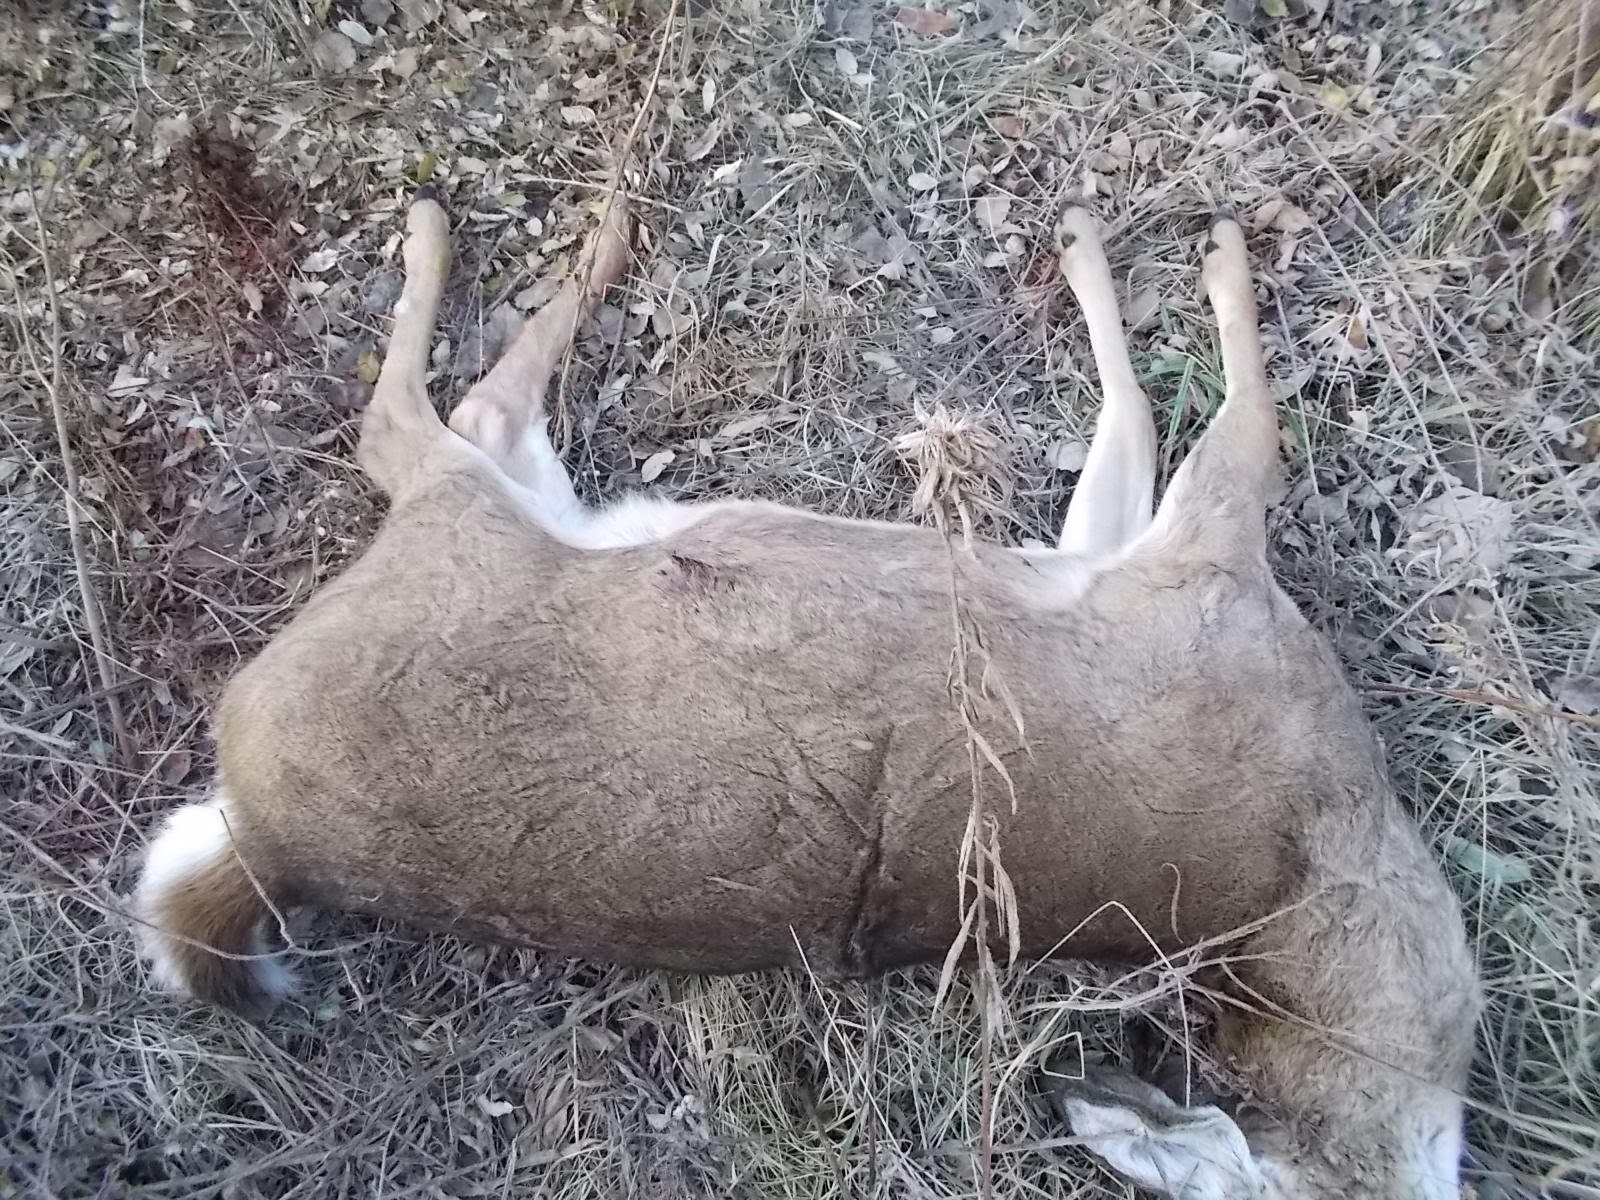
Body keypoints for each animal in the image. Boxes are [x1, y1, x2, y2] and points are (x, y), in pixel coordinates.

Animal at [132, 178, 1480, 1200]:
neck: (1322, 861)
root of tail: (266, 836)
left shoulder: (1144, 570)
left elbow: (1143, 429)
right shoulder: (1205, 572)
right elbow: (1228, 413)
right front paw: (1184, 251)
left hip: (479, 520)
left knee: (457, 411)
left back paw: (581, 223)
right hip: (465, 523)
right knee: (416, 412)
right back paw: (512, 224)